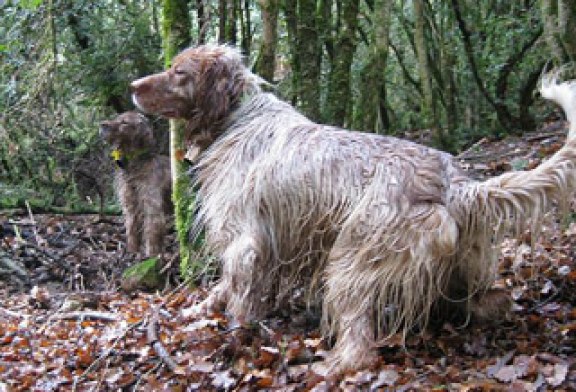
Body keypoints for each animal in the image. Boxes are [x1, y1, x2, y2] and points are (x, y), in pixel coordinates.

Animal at [99, 111, 172, 258]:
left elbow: (151, 232)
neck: (134, 165)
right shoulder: (130, 206)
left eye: (124, 122)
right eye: (116, 118)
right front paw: (132, 252)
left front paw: (152, 255)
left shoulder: (152, 207)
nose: (102, 125)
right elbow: (132, 230)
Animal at [130, 44, 576, 372]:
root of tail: (457, 185)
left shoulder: (244, 240)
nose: (133, 86)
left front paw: (234, 336)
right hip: (460, 265)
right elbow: (222, 288)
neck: (237, 117)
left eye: (180, 73)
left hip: (351, 259)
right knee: (491, 301)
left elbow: (238, 294)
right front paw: (202, 310)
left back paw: (333, 366)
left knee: (360, 344)